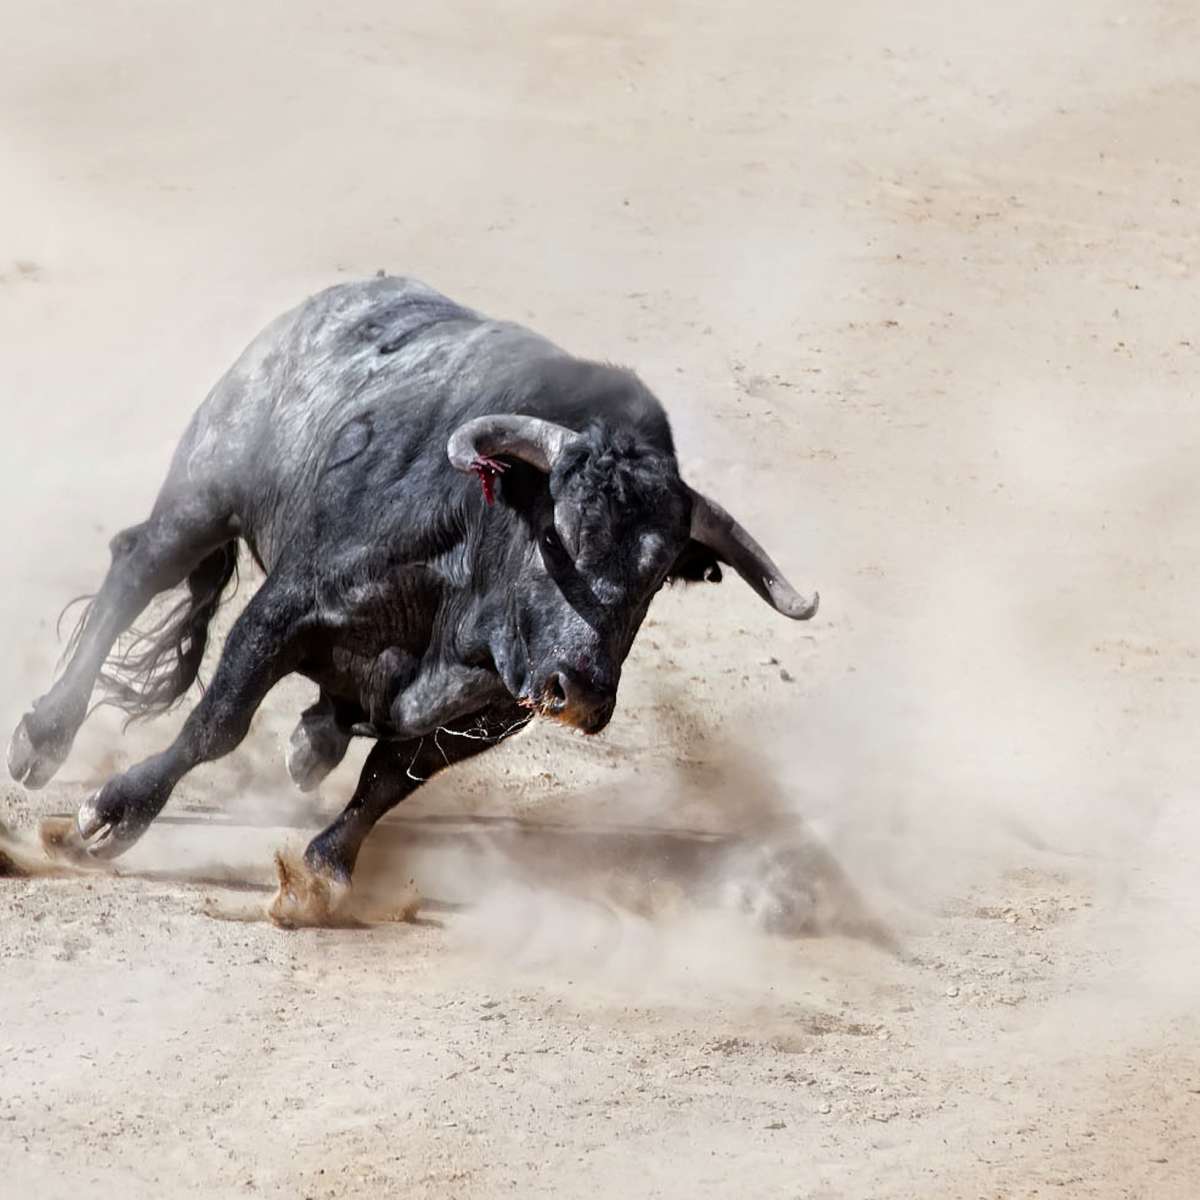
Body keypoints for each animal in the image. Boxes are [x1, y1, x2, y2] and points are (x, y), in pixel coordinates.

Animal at [7, 276, 817, 919]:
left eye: (655, 575)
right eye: (557, 532)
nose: (581, 691)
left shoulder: (487, 714)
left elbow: (388, 779)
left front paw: (322, 876)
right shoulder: (286, 609)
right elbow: (218, 723)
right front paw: (108, 817)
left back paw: (314, 740)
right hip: (205, 492)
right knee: (136, 568)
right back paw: (42, 737)